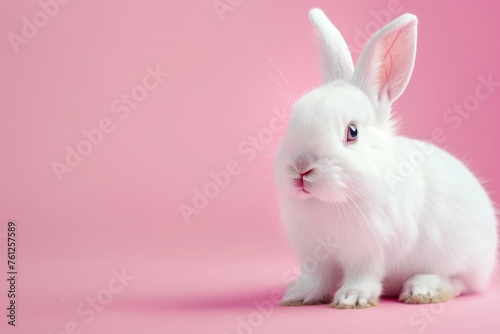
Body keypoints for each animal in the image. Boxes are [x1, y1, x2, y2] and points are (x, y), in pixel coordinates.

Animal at [276, 8, 498, 308]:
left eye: (352, 132)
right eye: (293, 120)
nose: (301, 167)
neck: (329, 202)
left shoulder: (370, 248)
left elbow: (363, 274)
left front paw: (352, 298)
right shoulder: (314, 254)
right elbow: (316, 278)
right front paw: (298, 295)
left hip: (460, 259)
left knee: (458, 282)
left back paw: (423, 290)